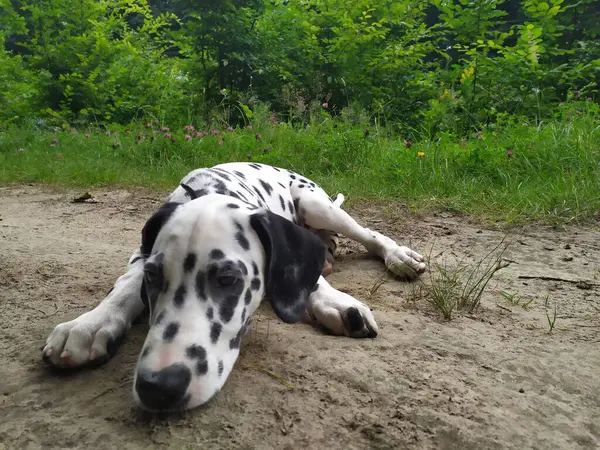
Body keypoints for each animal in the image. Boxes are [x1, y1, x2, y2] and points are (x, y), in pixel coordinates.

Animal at [41, 162, 426, 412]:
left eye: (228, 280)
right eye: (153, 277)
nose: (157, 387)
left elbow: (308, 275)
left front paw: (335, 301)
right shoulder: (142, 255)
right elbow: (124, 287)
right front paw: (89, 324)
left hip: (317, 205)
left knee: (368, 234)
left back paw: (398, 256)